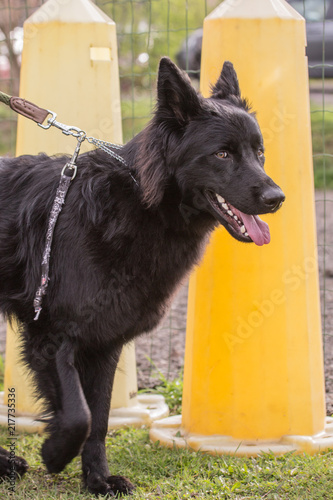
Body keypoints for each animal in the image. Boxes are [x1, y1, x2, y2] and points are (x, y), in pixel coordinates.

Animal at [0, 59, 282, 496]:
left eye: (259, 152)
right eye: (222, 153)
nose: (277, 198)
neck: (136, 202)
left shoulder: (104, 342)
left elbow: (98, 419)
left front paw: (97, 479)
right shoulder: (52, 336)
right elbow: (79, 415)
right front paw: (55, 453)